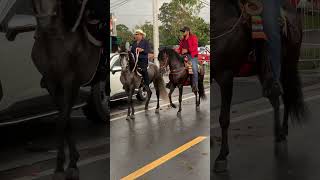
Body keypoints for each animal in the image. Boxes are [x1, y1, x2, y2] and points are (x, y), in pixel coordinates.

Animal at [212, 0, 308, 172]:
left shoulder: (225, 76)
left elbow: (224, 118)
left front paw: (222, 156)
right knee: (276, 97)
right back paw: (279, 133)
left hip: (288, 64)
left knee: (286, 96)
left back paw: (282, 132)